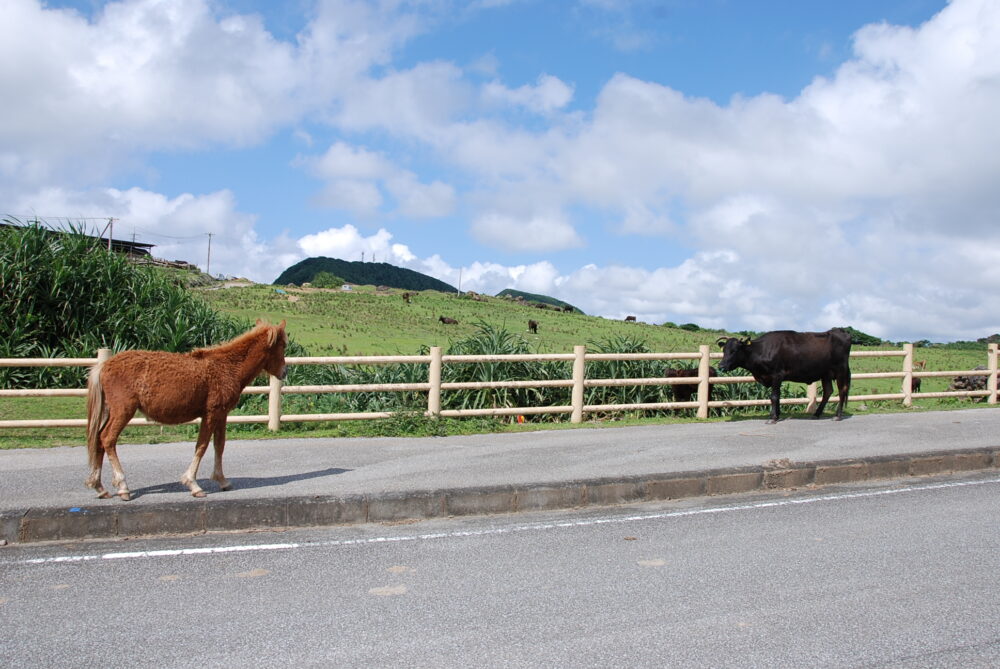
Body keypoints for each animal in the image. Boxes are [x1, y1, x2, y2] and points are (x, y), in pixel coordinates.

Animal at [85, 320, 290, 500]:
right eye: (282, 346)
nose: (285, 372)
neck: (227, 367)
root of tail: (104, 366)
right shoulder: (211, 413)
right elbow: (202, 446)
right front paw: (193, 484)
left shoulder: (221, 414)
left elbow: (219, 445)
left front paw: (222, 480)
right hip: (123, 411)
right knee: (108, 439)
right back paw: (122, 486)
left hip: (111, 412)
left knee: (99, 439)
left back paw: (99, 487)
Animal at [720, 328, 852, 422]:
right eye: (724, 350)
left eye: (734, 350)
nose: (721, 365)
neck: (761, 350)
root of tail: (840, 331)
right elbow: (777, 396)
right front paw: (776, 415)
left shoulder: (776, 375)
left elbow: (774, 397)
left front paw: (773, 418)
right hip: (826, 374)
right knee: (828, 392)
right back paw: (816, 414)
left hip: (840, 370)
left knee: (842, 391)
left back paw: (838, 416)